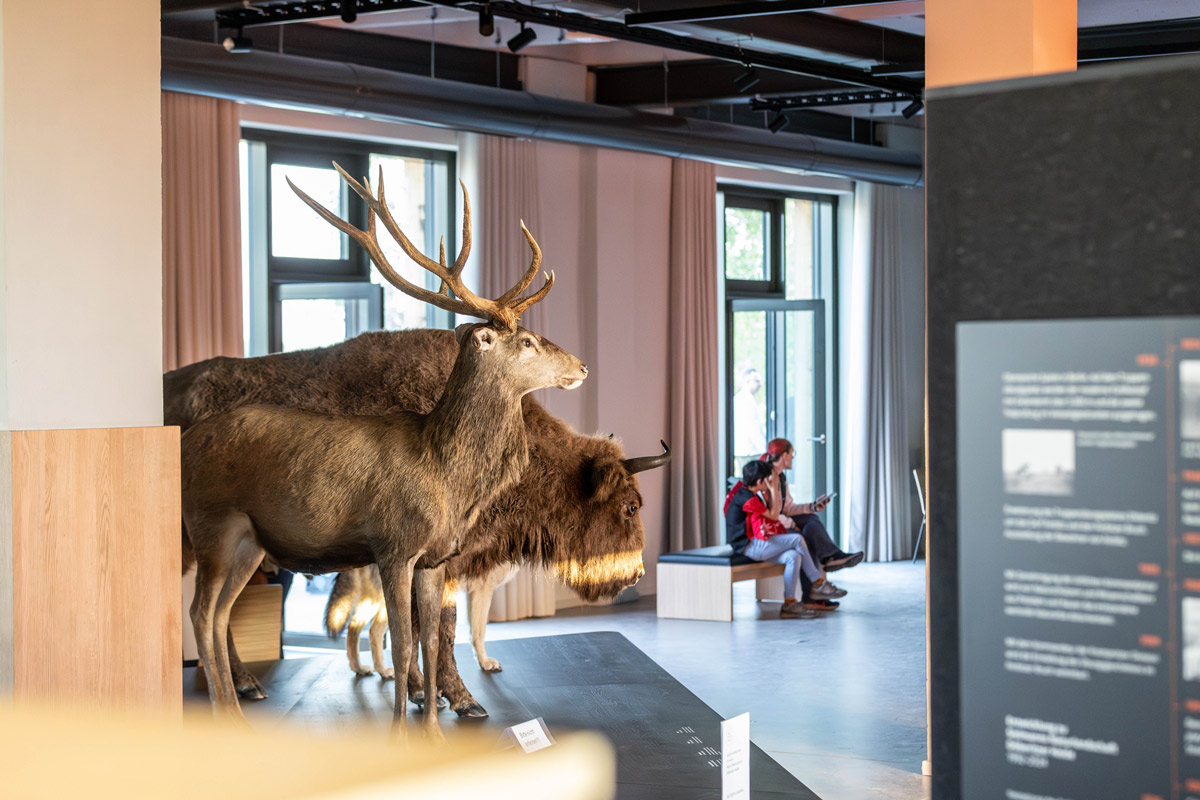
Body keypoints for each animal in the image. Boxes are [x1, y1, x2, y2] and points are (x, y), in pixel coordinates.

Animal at [180, 164, 588, 743]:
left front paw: (435, 728)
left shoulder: (435, 556)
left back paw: (235, 713)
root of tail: (185, 443)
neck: (447, 476)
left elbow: (429, 638)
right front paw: (404, 730)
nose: (581, 366)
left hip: (249, 543)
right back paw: (224, 709)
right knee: (199, 612)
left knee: (218, 615)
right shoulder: (394, 545)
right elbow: (402, 640)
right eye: (527, 341)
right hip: (210, 524)